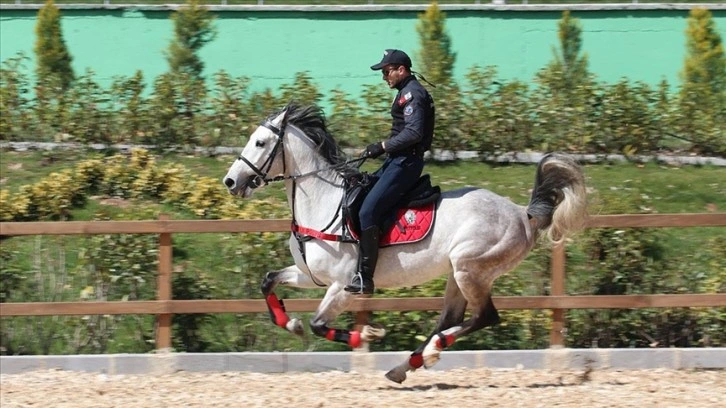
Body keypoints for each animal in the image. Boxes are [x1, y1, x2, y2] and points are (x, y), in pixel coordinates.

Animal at [223, 102, 592, 382]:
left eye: (259, 143)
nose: (230, 181)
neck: (323, 202)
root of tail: (520, 213)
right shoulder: (309, 276)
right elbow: (269, 282)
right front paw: (292, 323)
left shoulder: (342, 286)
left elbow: (318, 324)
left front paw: (368, 335)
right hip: (459, 275)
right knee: (451, 318)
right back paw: (408, 364)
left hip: (470, 270)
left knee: (483, 317)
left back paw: (431, 351)